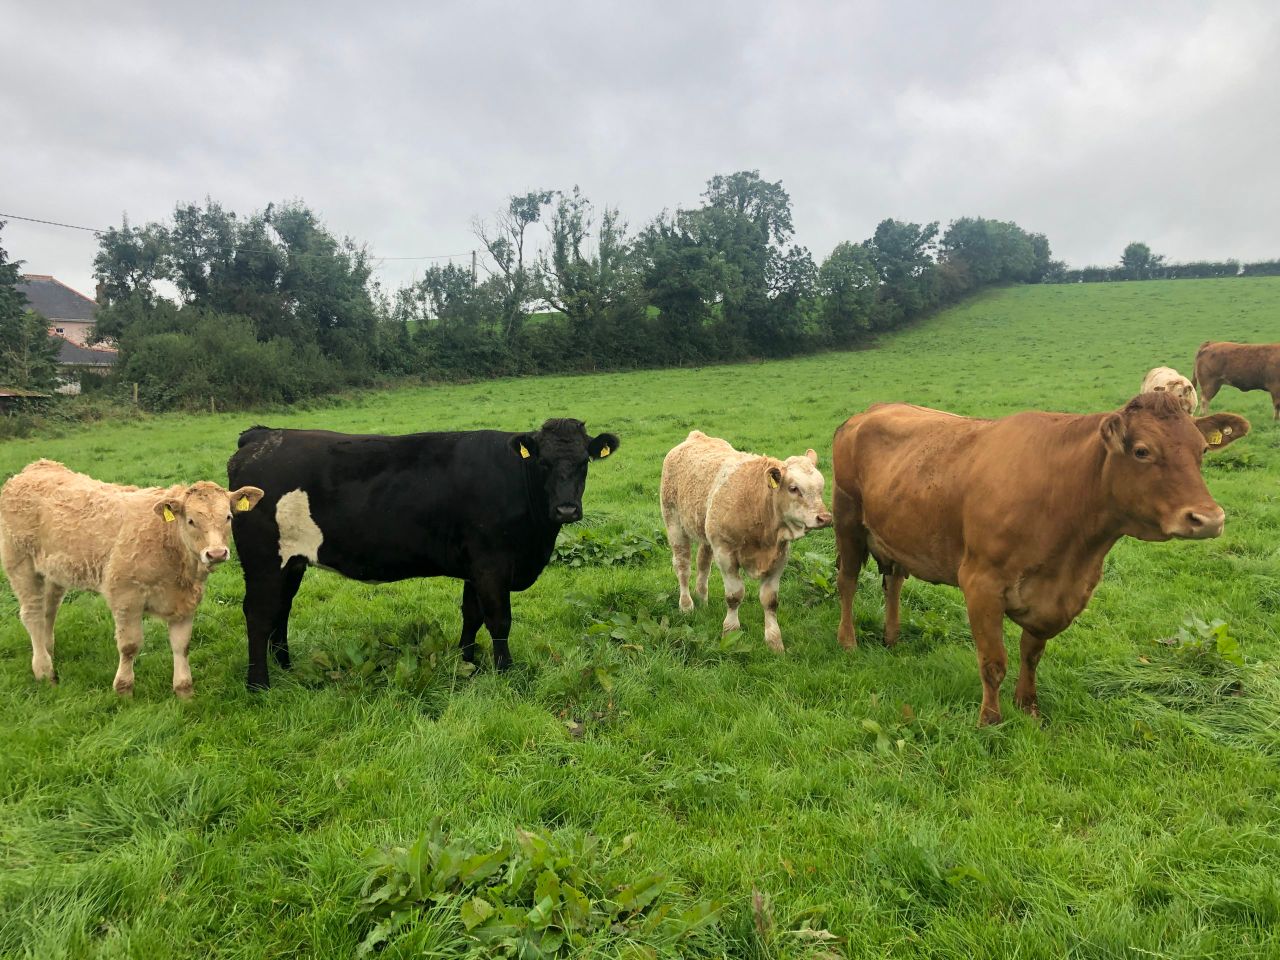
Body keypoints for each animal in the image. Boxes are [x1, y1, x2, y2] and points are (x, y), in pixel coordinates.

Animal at [0, 459, 263, 697]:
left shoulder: (185, 601)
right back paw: (44, 670)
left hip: (53, 571)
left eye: (228, 517)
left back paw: (48, 650)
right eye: (191, 520)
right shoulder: (125, 597)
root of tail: (34, 467)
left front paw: (184, 692)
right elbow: (129, 646)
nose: (216, 553)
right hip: (20, 563)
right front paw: (123, 690)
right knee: (32, 614)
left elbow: (182, 645)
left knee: (49, 610)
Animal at [226, 418, 620, 688]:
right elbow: (499, 620)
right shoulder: (492, 564)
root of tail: (262, 435)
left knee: (281, 609)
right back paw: (259, 685)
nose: (567, 509)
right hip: (263, 560)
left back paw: (287, 667)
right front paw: (505, 671)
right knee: (259, 613)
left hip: (291, 562)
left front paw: (467, 664)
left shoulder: (474, 566)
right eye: (543, 463)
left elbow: (471, 615)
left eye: (584, 461)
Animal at [660, 430, 832, 652]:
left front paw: (774, 642)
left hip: (706, 533)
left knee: (703, 564)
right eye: (794, 488)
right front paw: (730, 632)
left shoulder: (780, 557)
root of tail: (696, 436)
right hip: (674, 522)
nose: (825, 518)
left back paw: (702, 600)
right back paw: (686, 605)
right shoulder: (725, 554)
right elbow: (734, 596)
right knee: (683, 567)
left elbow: (770, 601)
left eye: (821, 487)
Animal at [832, 393, 1249, 725]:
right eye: (1142, 451)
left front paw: (1028, 707)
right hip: (847, 518)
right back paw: (848, 642)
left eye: (1202, 451)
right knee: (847, 582)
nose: (1208, 519)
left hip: (895, 533)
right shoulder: (981, 583)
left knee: (894, 582)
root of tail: (869, 411)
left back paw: (891, 638)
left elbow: (1031, 655)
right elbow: (993, 662)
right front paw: (990, 720)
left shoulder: (1062, 595)